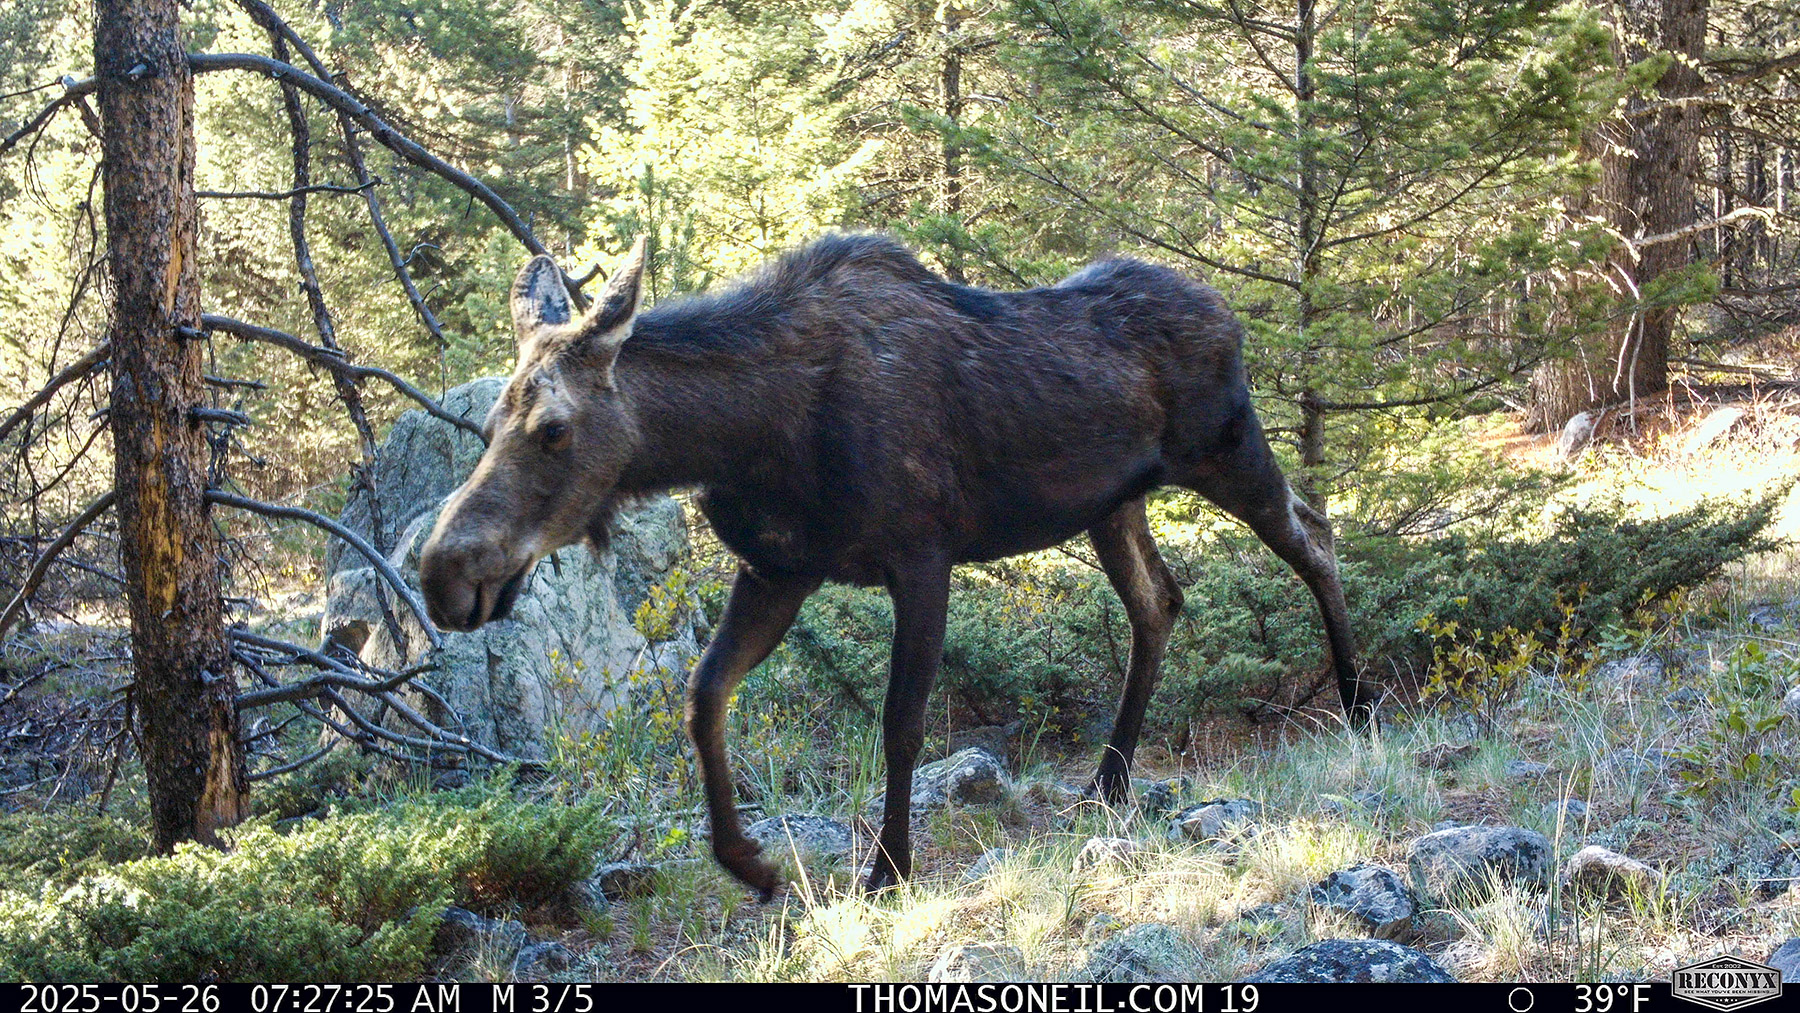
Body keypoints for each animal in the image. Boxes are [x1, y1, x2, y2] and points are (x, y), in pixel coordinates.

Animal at [418, 232, 1376, 898]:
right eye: (488, 423)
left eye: (553, 428)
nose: (442, 572)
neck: (748, 438)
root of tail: (1231, 313)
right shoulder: (779, 569)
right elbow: (704, 695)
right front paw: (753, 863)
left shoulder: (921, 552)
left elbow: (902, 722)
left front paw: (889, 866)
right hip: (1112, 502)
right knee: (1160, 601)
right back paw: (1108, 781)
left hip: (1227, 447)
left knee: (1316, 536)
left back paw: (1360, 708)